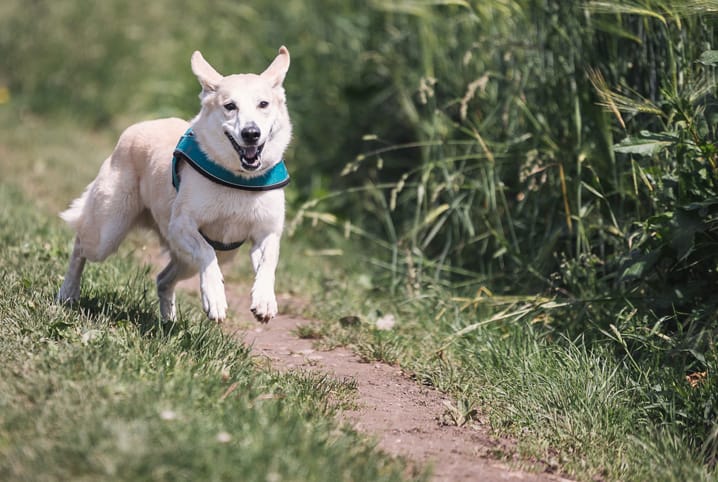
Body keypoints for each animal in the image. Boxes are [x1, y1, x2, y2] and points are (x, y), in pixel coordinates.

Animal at [55, 46, 292, 324]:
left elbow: (269, 263)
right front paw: (215, 298)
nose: (251, 133)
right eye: (230, 106)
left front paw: (264, 301)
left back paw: (168, 321)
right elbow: (206, 253)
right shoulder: (181, 225)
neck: (238, 179)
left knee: (163, 279)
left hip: (195, 259)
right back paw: (68, 293)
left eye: (263, 104)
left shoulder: (266, 232)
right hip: (107, 233)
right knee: (80, 245)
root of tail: (137, 127)